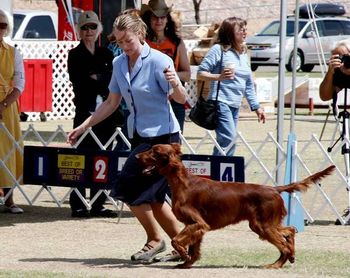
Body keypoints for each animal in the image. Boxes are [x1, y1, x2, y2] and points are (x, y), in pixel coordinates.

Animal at [136, 144, 334, 268]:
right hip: (265, 223)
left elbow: (176, 241)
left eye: (154, 151)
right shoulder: (195, 226)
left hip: (262, 225)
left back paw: (275, 265)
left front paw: (184, 256)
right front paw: (187, 263)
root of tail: (274, 188)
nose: (137, 156)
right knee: (290, 230)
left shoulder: (197, 223)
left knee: (284, 243)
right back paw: (290, 256)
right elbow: (194, 248)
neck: (182, 183)